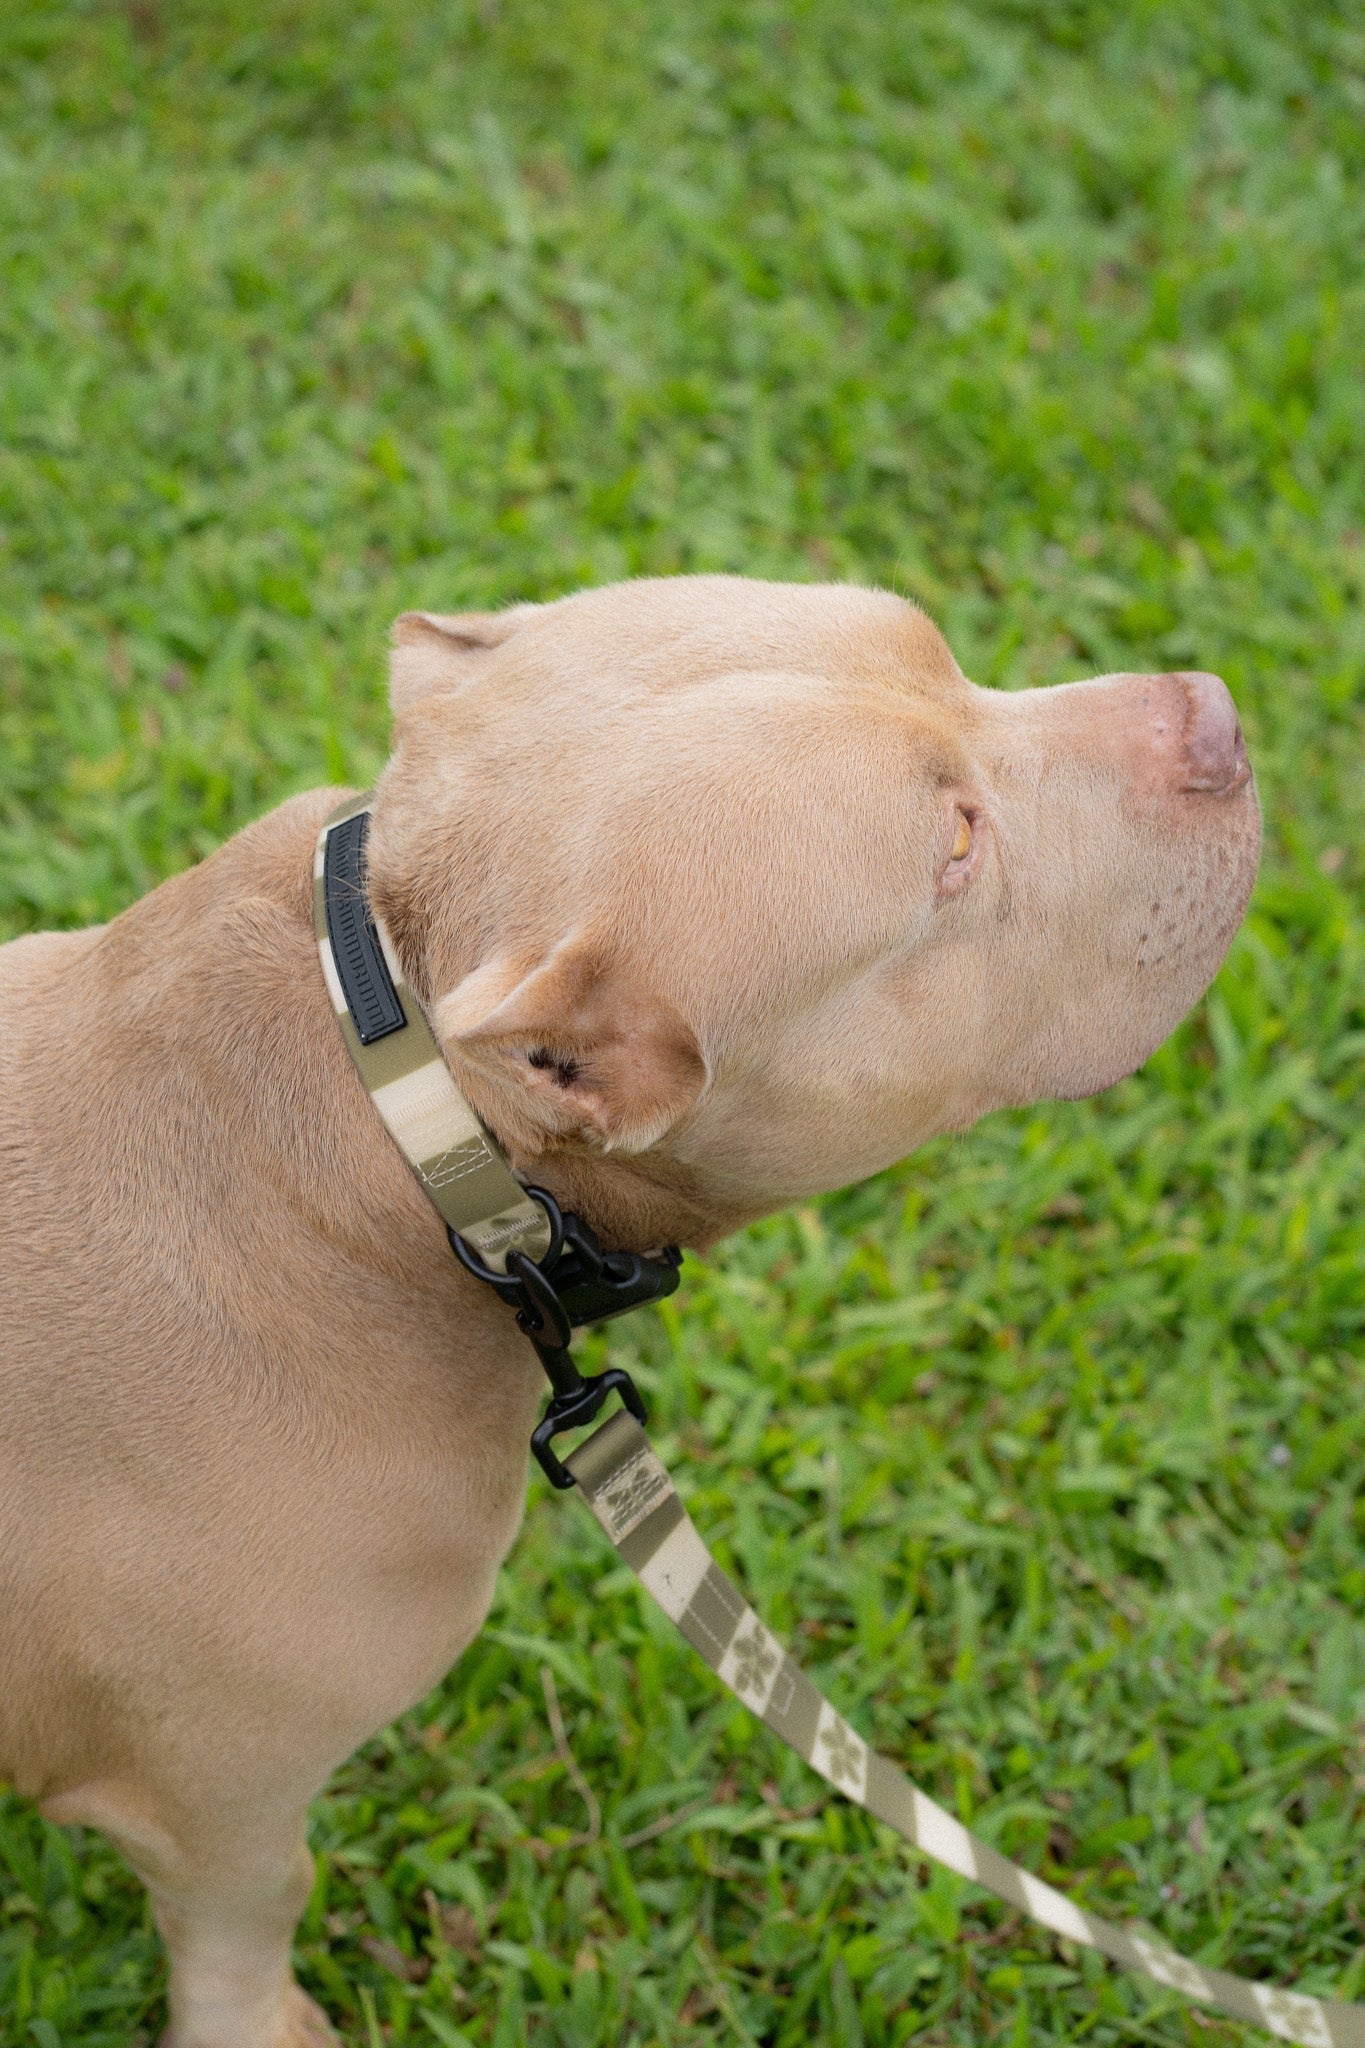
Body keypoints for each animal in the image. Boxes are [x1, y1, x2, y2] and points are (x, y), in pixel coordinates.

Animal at [0, 569, 1260, 2039]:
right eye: (954, 843)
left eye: (943, 652)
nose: (1219, 719)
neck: (404, 1121)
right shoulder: (215, 1796)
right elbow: (253, 1912)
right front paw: (257, 2023)